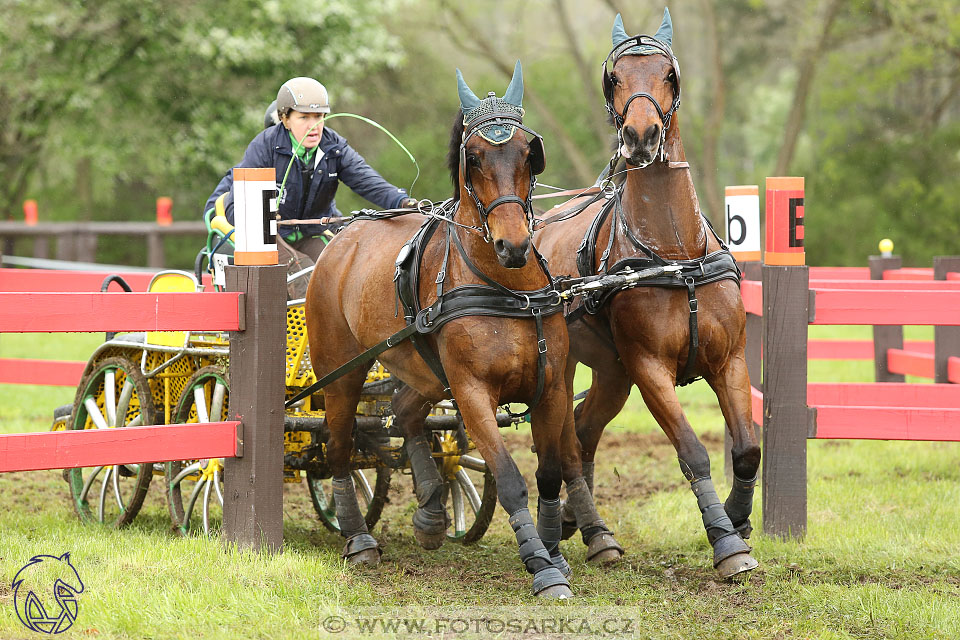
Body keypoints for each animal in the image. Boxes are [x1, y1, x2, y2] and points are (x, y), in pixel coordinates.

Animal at [308, 62, 624, 596]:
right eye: (473, 157)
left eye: (528, 154)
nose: (513, 245)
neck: (507, 289)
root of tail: (342, 238)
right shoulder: (473, 392)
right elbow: (512, 476)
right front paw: (540, 566)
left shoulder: (551, 387)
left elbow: (549, 471)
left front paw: (555, 555)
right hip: (342, 372)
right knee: (338, 448)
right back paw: (358, 539)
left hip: (424, 372)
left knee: (404, 413)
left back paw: (431, 514)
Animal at [536, 8, 760, 580]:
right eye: (614, 78)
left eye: (669, 75)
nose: (641, 135)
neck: (674, 253)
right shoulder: (648, 367)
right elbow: (693, 451)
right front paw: (726, 541)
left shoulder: (730, 359)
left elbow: (747, 449)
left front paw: (738, 518)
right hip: (564, 367)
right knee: (566, 446)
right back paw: (589, 529)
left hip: (612, 372)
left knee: (584, 431)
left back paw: (583, 525)